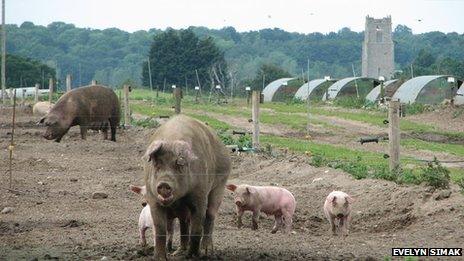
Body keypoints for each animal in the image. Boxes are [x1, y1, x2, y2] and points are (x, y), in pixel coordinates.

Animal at [143, 115, 230, 258]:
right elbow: (160, 230)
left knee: (210, 215)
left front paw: (192, 256)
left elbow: (196, 228)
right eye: (157, 164)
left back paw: (206, 252)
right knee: (184, 223)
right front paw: (160, 258)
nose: (164, 184)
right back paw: (178, 252)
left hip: (220, 184)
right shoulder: (153, 198)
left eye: (179, 165)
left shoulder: (200, 195)